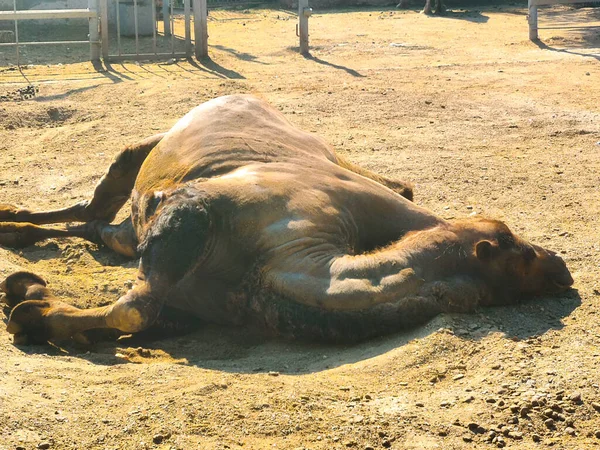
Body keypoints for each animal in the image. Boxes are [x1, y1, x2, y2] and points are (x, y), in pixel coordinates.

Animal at [0, 93, 576, 342]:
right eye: (510, 238)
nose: (562, 268)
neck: (263, 267)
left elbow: (138, 311)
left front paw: (30, 303)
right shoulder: (189, 217)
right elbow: (133, 308)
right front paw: (29, 305)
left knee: (97, 223)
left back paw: (21, 236)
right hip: (148, 147)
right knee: (96, 202)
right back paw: (17, 227)